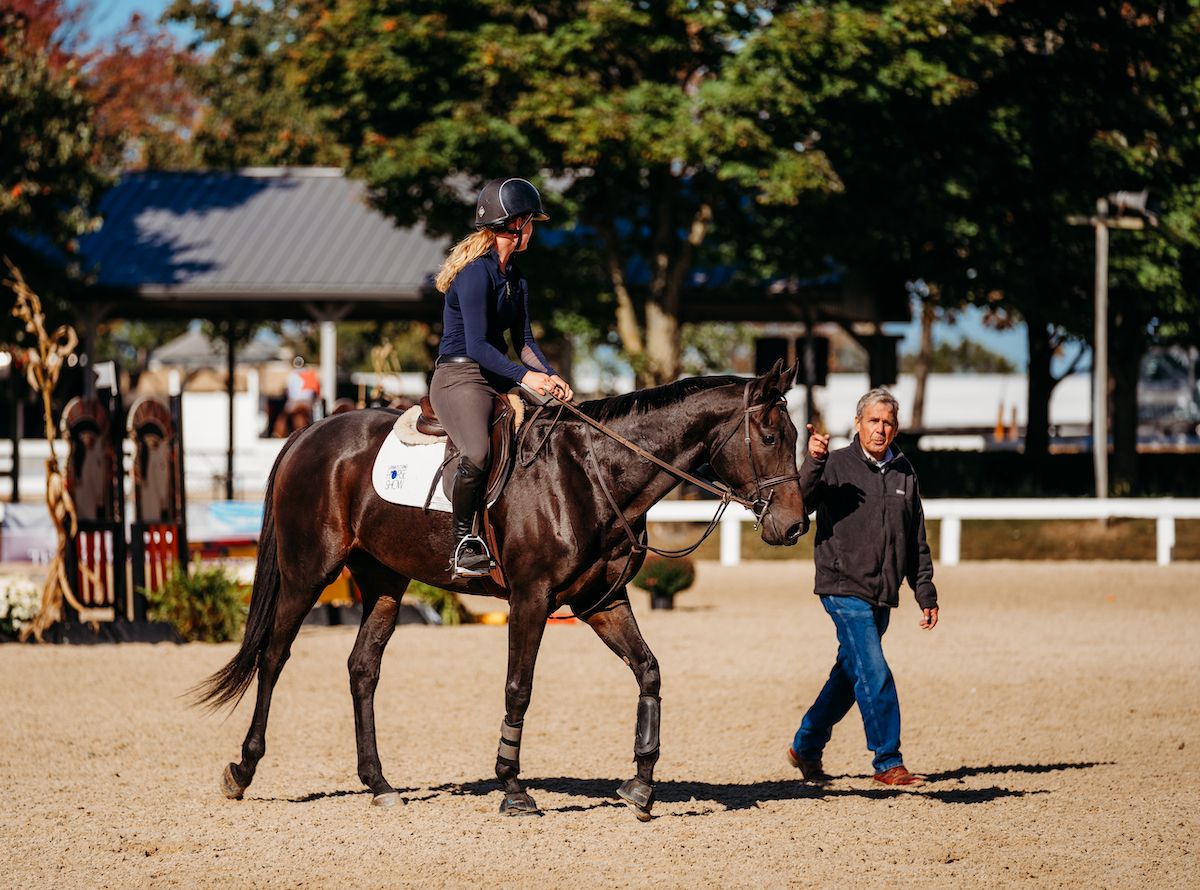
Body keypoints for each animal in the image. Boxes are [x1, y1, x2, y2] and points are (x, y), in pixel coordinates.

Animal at [201, 359, 811, 820]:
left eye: (797, 435)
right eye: (771, 435)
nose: (794, 527)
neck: (593, 475)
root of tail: (309, 433)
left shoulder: (601, 603)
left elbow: (649, 671)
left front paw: (640, 786)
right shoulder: (531, 598)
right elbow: (519, 689)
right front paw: (514, 788)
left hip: (384, 580)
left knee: (362, 669)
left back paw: (379, 784)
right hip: (309, 572)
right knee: (274, 657)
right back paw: (243, 769)